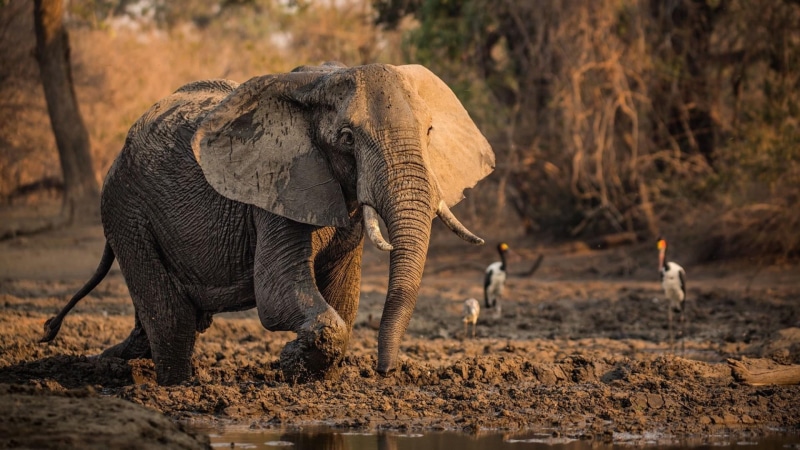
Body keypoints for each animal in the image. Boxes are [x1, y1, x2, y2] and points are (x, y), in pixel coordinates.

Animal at [40, 62, 495, 385]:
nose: (385, 373)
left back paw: (104, 364)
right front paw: (292, 362)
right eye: (347, 138)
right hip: (126, 211)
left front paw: (315, 377)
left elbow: (342, 298)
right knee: (172, 320)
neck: (321, 81)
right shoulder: (276, 189)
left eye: (430, 131)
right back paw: (176, 387)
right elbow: (277, 294)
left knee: (164, 322)